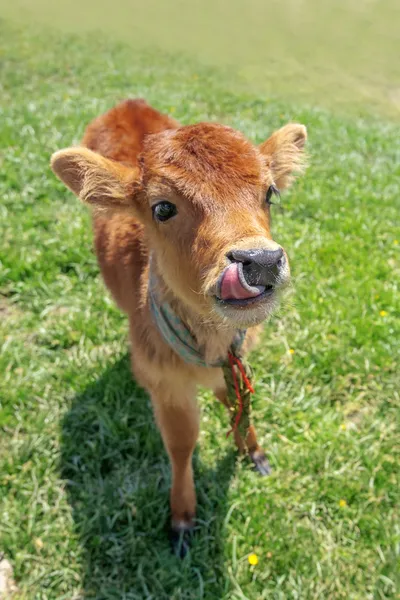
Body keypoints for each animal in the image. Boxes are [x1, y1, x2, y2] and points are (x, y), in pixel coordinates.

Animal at [50, 98, 306, 552]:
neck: (209, 345)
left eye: (270, 193)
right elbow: (182, 441)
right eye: (163, 207)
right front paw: (183, 521)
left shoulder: (232, 361)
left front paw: (254, 454)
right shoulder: (166, 383)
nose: (259, 260)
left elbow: (237, 403)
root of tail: (129, 103)